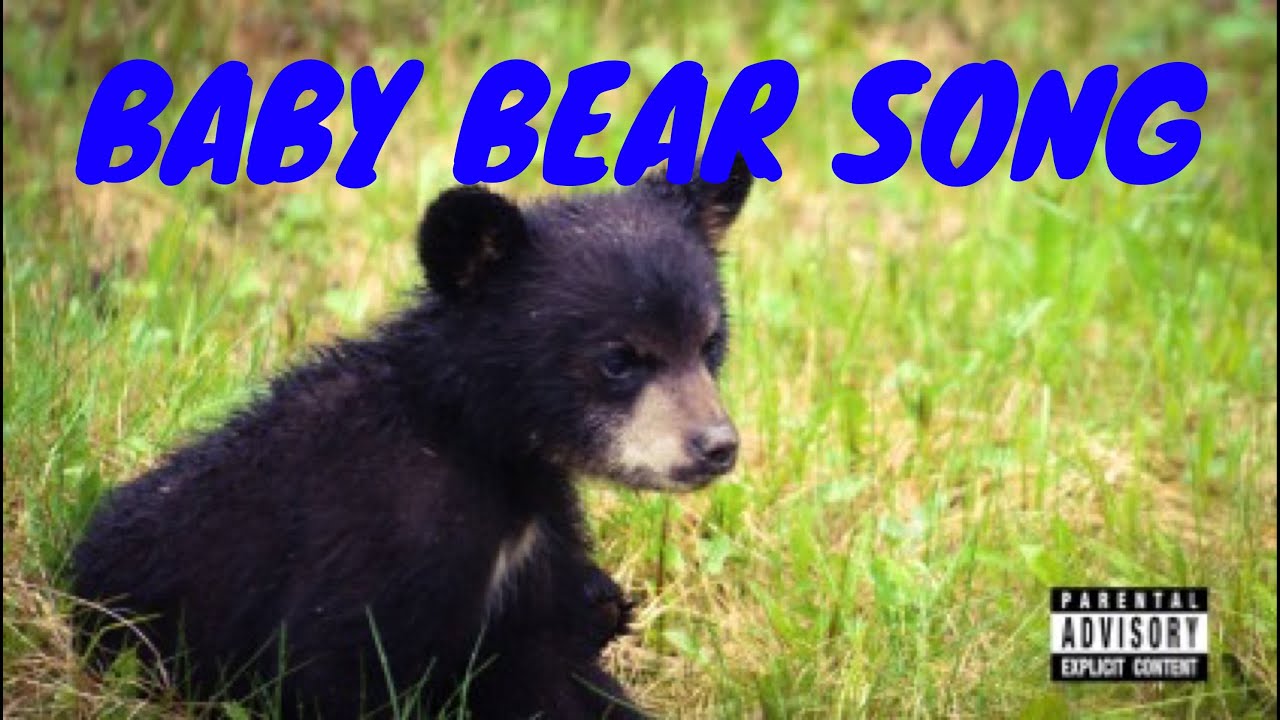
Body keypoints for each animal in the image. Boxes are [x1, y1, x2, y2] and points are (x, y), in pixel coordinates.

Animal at [68, 155, 754, 719]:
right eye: (618, 359)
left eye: (710, 341)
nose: (716, 446)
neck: (483, 449)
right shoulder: (372, 541)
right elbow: (330, 664)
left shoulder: (534, 556)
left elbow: (554, 668)